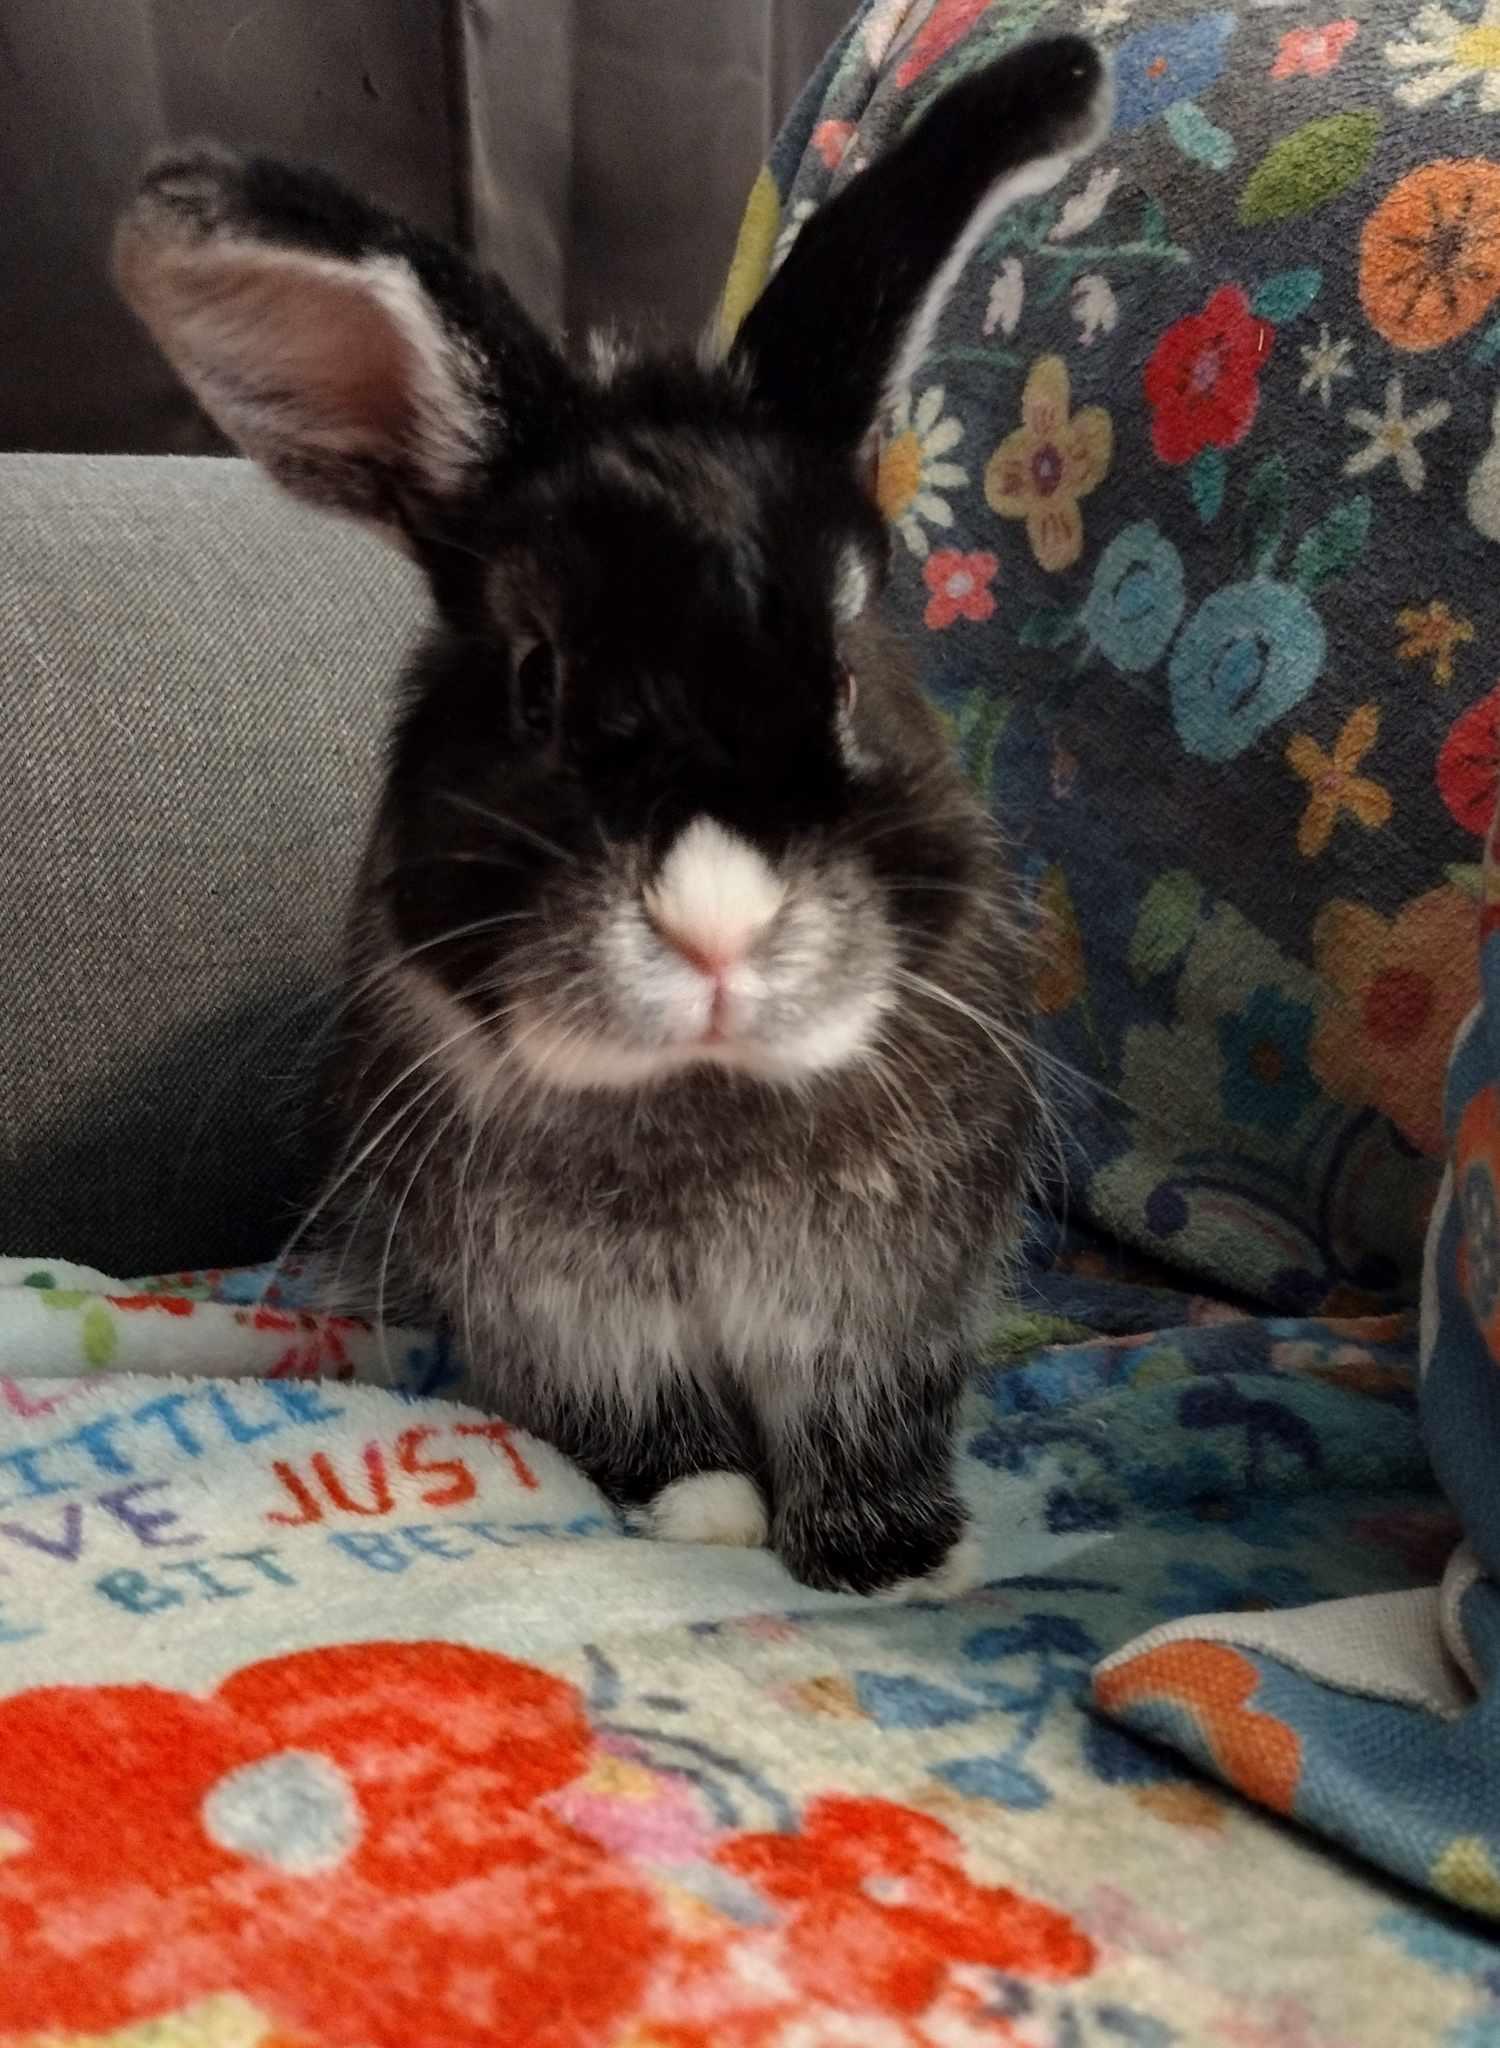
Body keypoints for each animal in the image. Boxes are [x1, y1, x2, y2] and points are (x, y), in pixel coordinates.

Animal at [114, 34, 1109, 1595]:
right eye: (538, 681)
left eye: (845, 669)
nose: (718, 927)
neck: (703, 1097)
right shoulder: (575, 1323)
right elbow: (652, 1424)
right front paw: (702, 1509)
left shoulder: (879, 1318)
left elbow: (866, 1422)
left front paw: (890, 1560)